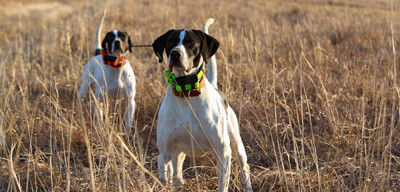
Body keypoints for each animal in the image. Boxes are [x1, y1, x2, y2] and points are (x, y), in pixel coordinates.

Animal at [152, 18, 252, 192]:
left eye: (190, 43)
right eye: (170, 42)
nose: (175, 54)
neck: (186, 93)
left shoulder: (223, 152)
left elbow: (223, 185)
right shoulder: (164, 154)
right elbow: (167, 177)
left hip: (237, 145)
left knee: (245, 168)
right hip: (177, 152)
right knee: (177, 169)